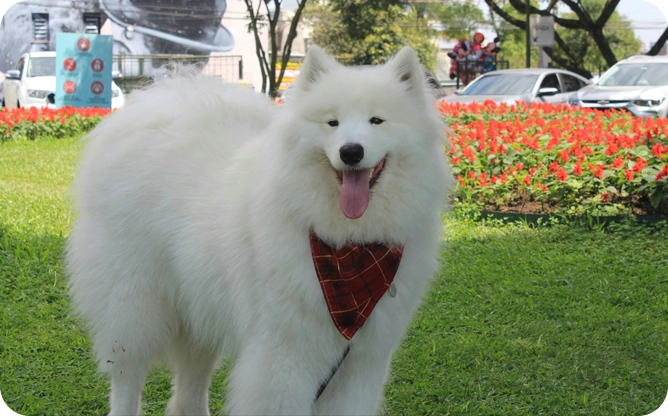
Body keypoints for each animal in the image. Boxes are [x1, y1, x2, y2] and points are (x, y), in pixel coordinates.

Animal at [66, 46, 454, 416]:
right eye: (332, 122)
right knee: (127, 378)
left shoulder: (362, 363)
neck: (349, 249)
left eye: (377, 120)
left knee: (187, 394)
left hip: (199, 312)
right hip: (135, 309)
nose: (351, 151)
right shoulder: (284, 360)